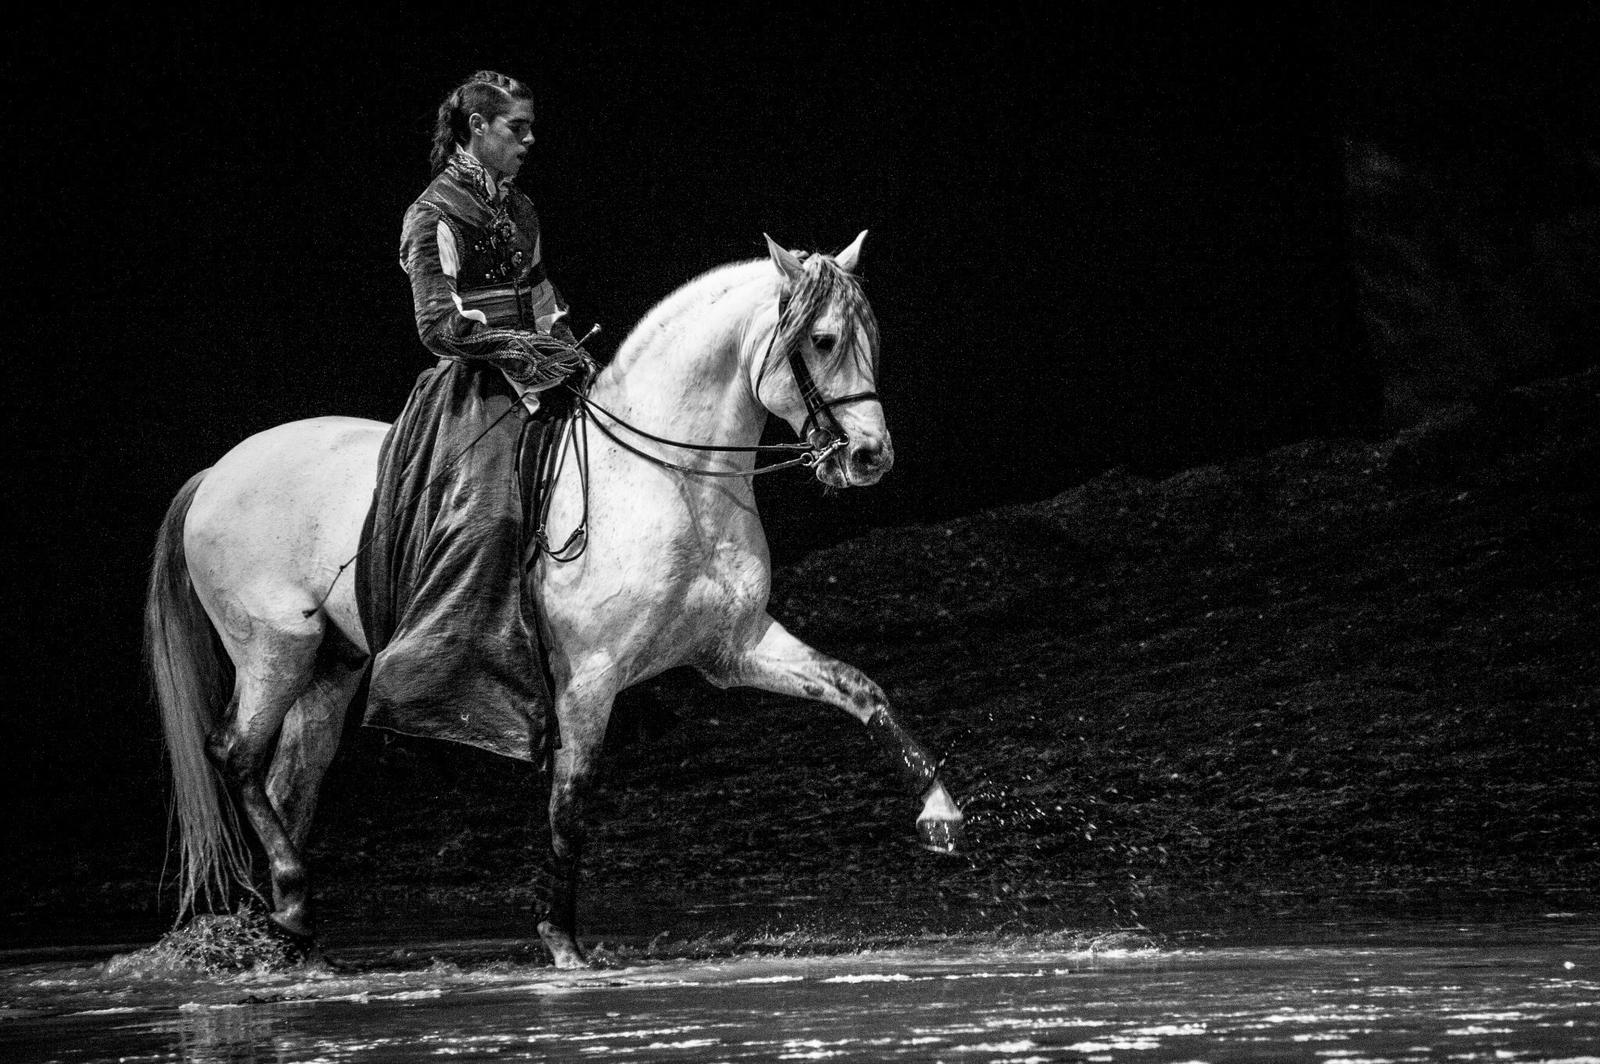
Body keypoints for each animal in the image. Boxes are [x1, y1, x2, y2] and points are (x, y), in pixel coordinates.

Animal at [144, 232, 965, 968]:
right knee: (237, 755)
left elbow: (861, 688)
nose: (871, 457)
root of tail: (218, 471)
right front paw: (563, 942)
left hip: (330, 669)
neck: (670, 478)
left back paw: (294, 931)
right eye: (822, 341)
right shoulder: (589, 677)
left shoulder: (734, 648)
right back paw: (285, 901)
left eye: (869, 339)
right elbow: (570, 799)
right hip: (274, 651)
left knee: (288, 781)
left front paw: (942, 817)